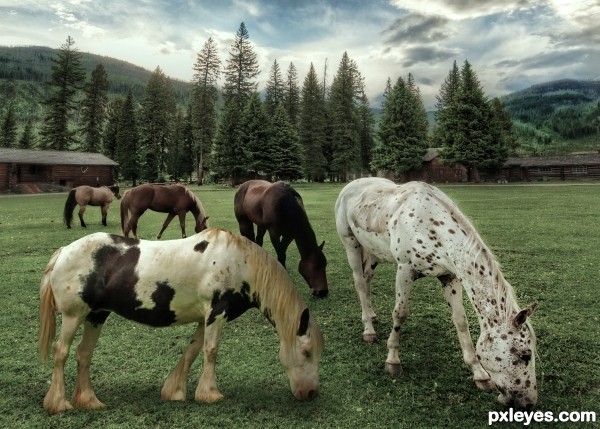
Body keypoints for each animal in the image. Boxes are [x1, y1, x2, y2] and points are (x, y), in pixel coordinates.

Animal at [336, 176, 536, 408]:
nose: (529, 402)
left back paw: (371, 316)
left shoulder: (450, 277)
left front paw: (479, 374)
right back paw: (368, 330)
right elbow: (400, 314)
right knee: (360, 282)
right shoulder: (404, 270)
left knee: (367, 280)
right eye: (525, 355)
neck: (431, 225)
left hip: (374, 252)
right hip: (351, 244)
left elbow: (461, 321)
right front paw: (393, 360)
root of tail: (352, 184)